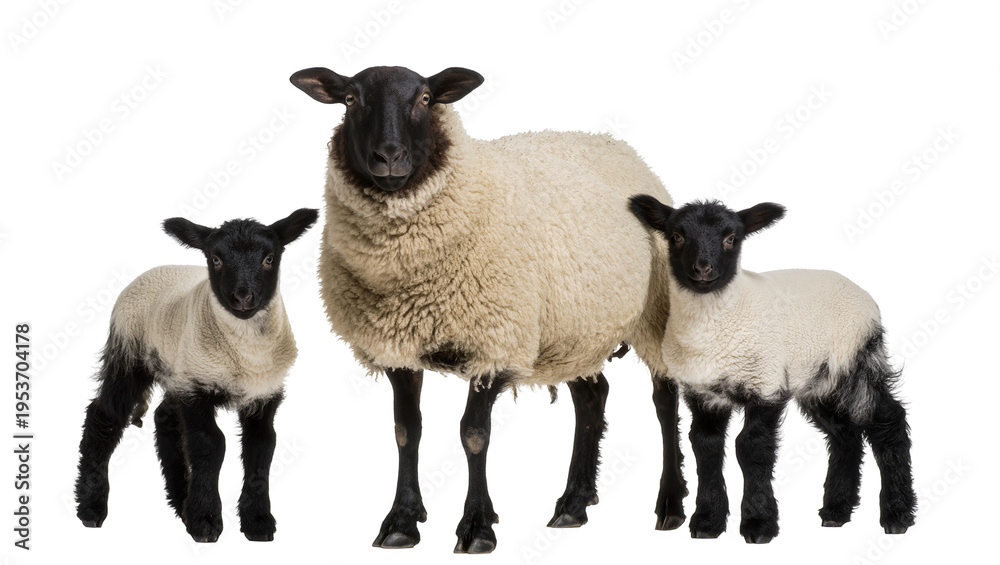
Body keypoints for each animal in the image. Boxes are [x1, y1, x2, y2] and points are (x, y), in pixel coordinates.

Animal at [74, 208, 318, 543]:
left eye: (269, 258)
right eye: (215, 259)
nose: (243, 297)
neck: (246, 356)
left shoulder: (263, 393)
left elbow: (261, 447)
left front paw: (258, 522)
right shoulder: (197, 388)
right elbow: (209, 444)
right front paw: (205, 520)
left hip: (176, 365)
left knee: (165, 420)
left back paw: (181, 501)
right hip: (130, 352)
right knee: (104, 416)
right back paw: (91, 507)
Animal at [289, 65, 687, 552]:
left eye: (425, 98)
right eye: (350, 99)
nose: (389, 156)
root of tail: (619, 146)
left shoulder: (494, 343)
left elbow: (474, 435)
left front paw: (477, 526)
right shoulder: (397, 347)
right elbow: (406, 431)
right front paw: (401, 521)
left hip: (654, 312)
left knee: (664, 399)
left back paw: (671, 505)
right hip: (575, 329)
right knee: (593, 398)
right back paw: (573, 505)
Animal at [628, 196, 916, 543]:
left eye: (731, 238)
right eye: (677, 236)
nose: (702, 268)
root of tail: (863, 296)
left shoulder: (765, 382)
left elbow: (751, 447)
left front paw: (758, 523)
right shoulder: (704, 392)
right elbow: (705, 446)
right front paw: (707, 522)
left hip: (855, 359)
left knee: (888, 422)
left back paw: (897, 515)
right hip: (819, 379)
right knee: (844, 434)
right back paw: (836, 511)